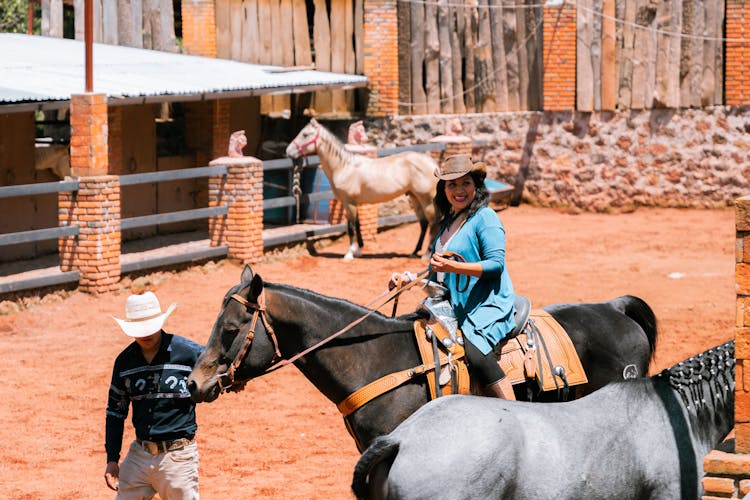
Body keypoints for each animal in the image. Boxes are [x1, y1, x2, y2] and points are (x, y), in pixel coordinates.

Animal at [288, 119, 440, 260]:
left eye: (305, 134)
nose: (288, 152)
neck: (344, 167)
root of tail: (432, 164)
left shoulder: (348, 202)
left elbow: (350, 227)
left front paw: (349, 254)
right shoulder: (354, 203)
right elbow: (358, 225)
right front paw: (359, 250)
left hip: (426, 200)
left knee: (433, 223)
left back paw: (427, 254)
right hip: (415, 198)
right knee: (424, 224)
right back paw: (414, 252)